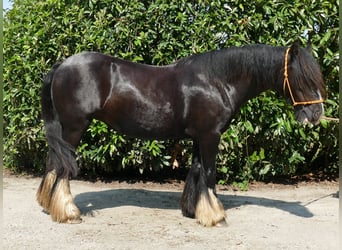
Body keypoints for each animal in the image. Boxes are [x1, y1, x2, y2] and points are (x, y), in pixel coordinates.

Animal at [37, 42, 326, 227]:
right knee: (63, 168)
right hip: (74, 128)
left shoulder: (200, 136)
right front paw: (215, 216)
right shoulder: (210, 136)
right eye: (302, 78)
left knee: (53, 163)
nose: (316, 114)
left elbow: (196, 171)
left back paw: (48, 204)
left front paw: (194, 210)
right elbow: (209, 173)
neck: (217, 81)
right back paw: (68, 213)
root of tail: (62, 65)